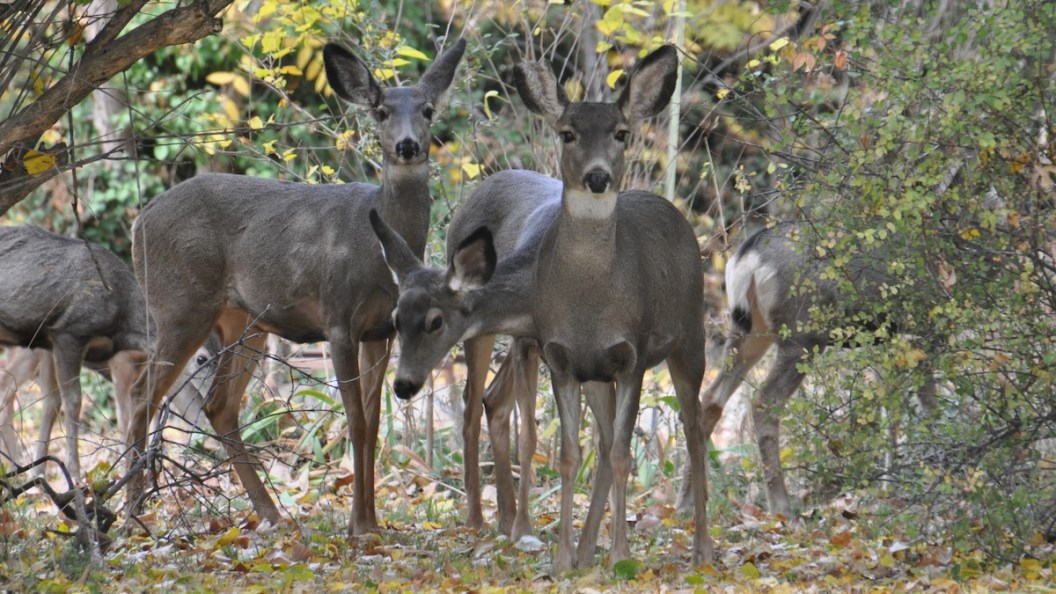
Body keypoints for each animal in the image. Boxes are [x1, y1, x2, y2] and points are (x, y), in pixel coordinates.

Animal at [126, 38, 466, 535]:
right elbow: (355, 419)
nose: (407, 146)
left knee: (219, 405)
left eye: (426, 109)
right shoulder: (337, 318)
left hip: (245, 322)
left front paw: (371, 522)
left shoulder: (381, 330)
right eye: (381, 111)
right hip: (180, 306)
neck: (375, 250)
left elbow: (373, 422)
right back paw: (132, 515)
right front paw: (358, 525)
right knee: (142, 395)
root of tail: (138, 222)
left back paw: (271, 514)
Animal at [367, 168, 563, 539]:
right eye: (395, 319)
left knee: (493, 399)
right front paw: (525, 529)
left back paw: (505, 518)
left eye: (435, 321)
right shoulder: (525, 340)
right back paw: (478, 519)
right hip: (482, 334)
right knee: (473, 406)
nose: (402, 385)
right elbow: (529, 436)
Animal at [512, 45, 713, 570]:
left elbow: (625, 453)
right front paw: (562, 558)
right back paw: (585, 553)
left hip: (691, 339)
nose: (598, 176)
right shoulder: (561, 358)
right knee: (601, 446)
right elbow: (570, 454)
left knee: (695, 430)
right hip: (597, 375)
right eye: (567, 132)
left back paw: (703, 549)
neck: (590, 303)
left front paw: (622, 554)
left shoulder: (633, 356)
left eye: (621, 133)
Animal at [688, 223, 939, 517]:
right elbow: (929, 405)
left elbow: (891, 407)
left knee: (711, 396)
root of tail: (745, 257)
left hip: (750, 329)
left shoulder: (887, 338)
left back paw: (686, 506)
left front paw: (889, 488)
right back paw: (783, 509)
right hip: (802, 333)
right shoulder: (927, 322)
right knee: (763, 402)